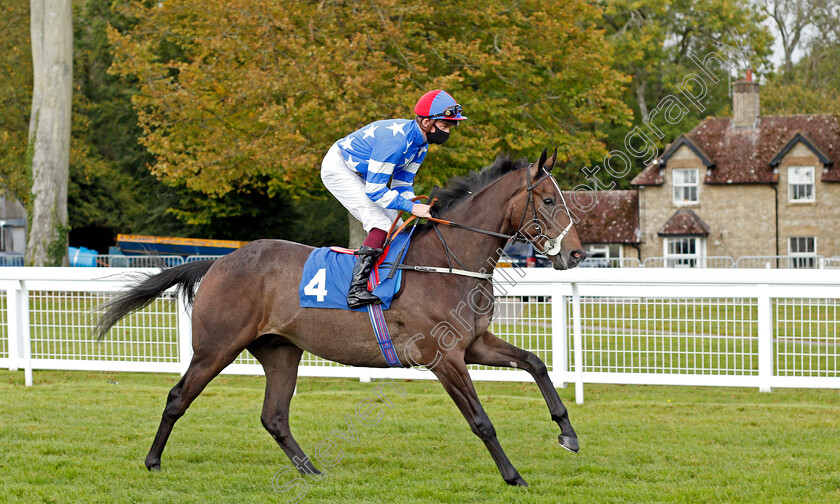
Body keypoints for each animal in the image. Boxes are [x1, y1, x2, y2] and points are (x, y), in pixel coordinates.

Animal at [95, 148, 584, 486]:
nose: (577, 254)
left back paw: (310, 470)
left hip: (280, 351)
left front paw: (568, 434)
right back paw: (153, 461)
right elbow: (481, 420)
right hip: (216, 346)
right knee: (178, 396)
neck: (448, 263)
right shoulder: (444, 356)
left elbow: (536, 363)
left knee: (274, 416)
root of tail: (219, 261)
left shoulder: (475, 344)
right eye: (547, 200)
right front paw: (513, 476)